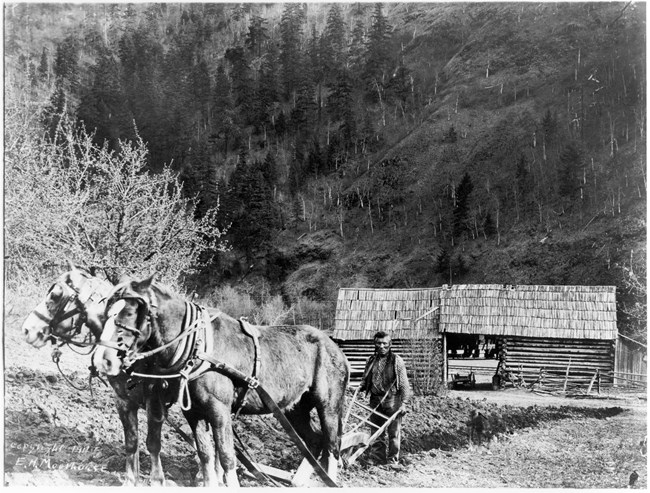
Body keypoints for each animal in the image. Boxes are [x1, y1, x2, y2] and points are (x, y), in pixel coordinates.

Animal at [19, 266, 213, 484]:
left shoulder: (155, 402)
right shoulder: (123, 400)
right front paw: (131, 479)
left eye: (55, 295)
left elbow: (153, 443)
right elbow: (131, 442)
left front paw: (157, 479)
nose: (27, 330)